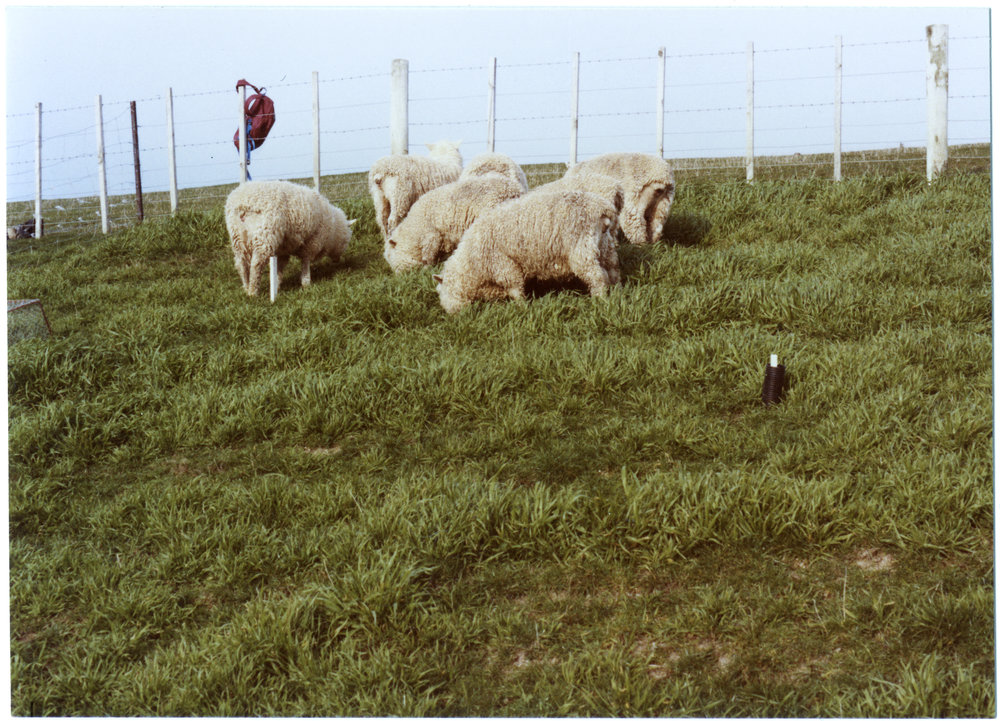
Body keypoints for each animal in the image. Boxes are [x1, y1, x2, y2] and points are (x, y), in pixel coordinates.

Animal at [224, 180, 354, 297]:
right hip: (264, 235)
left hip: (237, 238)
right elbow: (305, 261)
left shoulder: (283, 249)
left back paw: (246, 288)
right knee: (256, 264)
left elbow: (280, 267)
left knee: (241, 264)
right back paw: (253, 292)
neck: (333, 229)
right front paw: (306, 282)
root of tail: (243, 203)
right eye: (346, 241)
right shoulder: (312, 242)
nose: (337, 260)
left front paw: (277, 283)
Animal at [384, 173, 525, 273]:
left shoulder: (432, 237)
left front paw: (426, 269)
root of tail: (515, 190)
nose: (399, 276)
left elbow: (428, 257)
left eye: (391, 256)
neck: (414, 228)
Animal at [432, 189, 621, 314]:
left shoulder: (503, 265)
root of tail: (601, 206)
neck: (472, 262)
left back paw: (600, 299)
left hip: (581, 250)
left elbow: (515, 288)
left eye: (443, 291)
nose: (453, 315)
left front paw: (522, 307)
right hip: (605, 246)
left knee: (597, 277)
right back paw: (615, 292)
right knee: (612, 271)